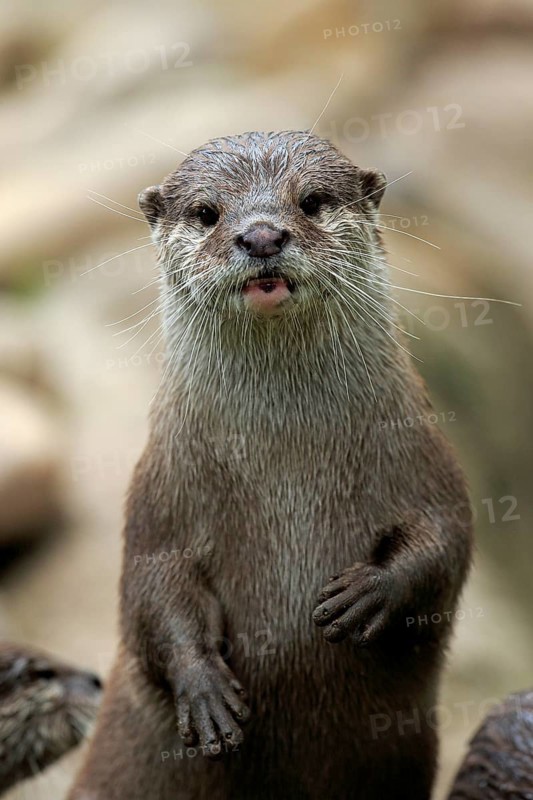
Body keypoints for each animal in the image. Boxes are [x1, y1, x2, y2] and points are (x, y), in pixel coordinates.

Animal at [69, 131, 473, 800]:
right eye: (207, 212)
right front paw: (205, 692)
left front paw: (370, 592)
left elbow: (446, 537)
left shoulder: (422, 454)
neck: (287, 471)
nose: (260, 236)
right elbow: (152, 585)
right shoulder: (162, 491)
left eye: (310, 201)